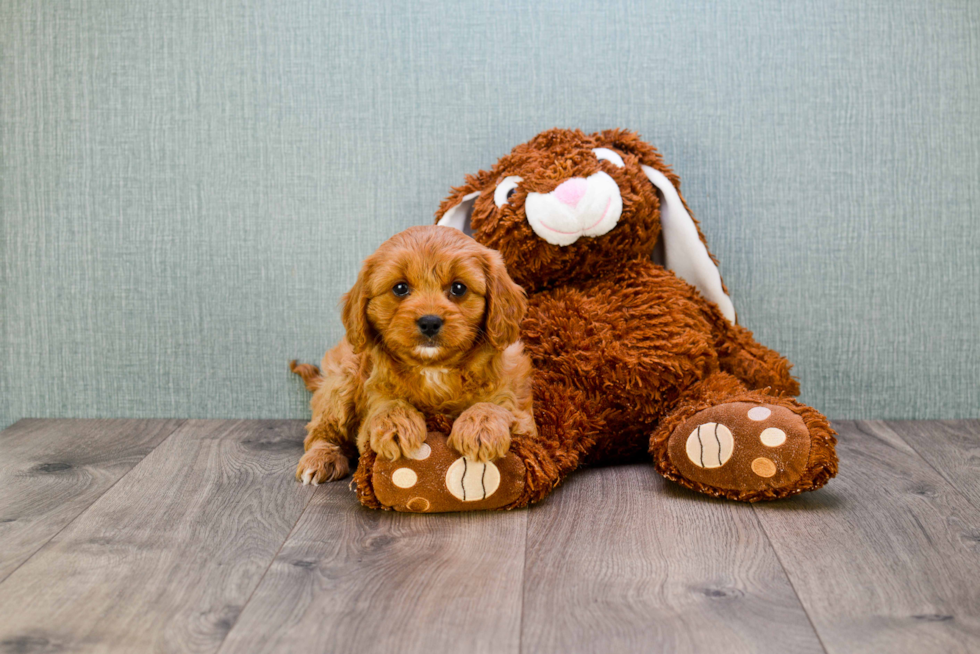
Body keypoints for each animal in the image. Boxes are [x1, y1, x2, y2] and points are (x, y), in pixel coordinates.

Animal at [292, 226, 536, 486]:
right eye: (400, 288)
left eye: (458, 288)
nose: (430, 322)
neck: (434, 368)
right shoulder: (374, 395)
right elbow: (387, 405)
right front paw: (396, 425)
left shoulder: (520, 411)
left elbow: (495, 405)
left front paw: (480, 428)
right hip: (342, 381)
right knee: (320, 432)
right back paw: (320, 459)